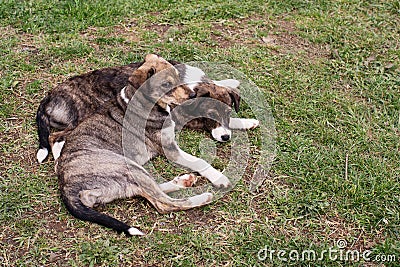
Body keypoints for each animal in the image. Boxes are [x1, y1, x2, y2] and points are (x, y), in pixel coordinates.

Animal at [54, 54, 228, 237]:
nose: (194, 95)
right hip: (127, 166)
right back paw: (204, 197)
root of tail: (66, 186)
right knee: (164, 204)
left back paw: (183, 181)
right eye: (166, 84)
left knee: (153, 191)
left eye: (178, 76)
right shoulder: (171, 149)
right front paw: (219, 177)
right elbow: (200, 161)